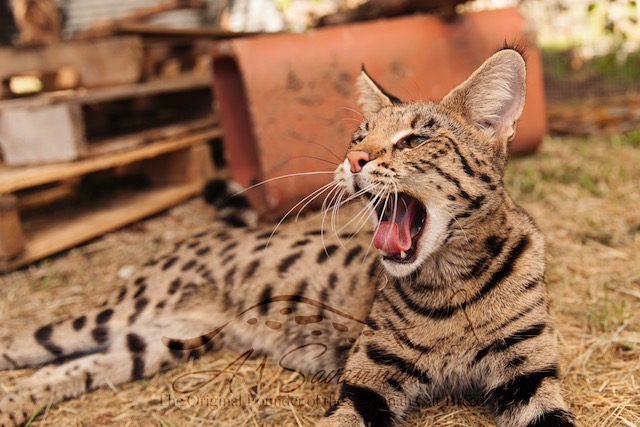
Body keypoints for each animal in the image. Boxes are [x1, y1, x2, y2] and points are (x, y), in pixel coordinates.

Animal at [0, 47, 572, 427]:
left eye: (415, 140)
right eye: (360, 135)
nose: (354, 160)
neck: (454, 278)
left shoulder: (531, 375)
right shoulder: (366, 383)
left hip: (162, 341)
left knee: (75, 367)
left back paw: (18, 403)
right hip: (125, 312)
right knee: (27, 343)